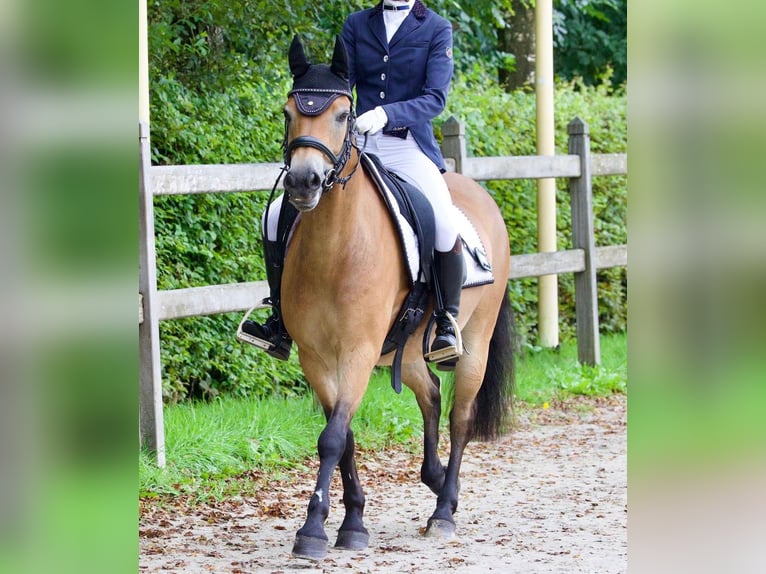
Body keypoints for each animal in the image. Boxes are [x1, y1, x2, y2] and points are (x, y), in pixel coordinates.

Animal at [276, 36, 515, 560]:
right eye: (288, 113)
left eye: (344, 114)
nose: (303, 182)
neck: (335, 248)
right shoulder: (315, 356)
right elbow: (342, 436)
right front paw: (353, 520)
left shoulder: (359, 351)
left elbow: (332, 437)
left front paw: (315, 529)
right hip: (401, 350)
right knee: (431, 394)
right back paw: (437, 479)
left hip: (474, 342)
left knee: (460, 416)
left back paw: (444, 510)